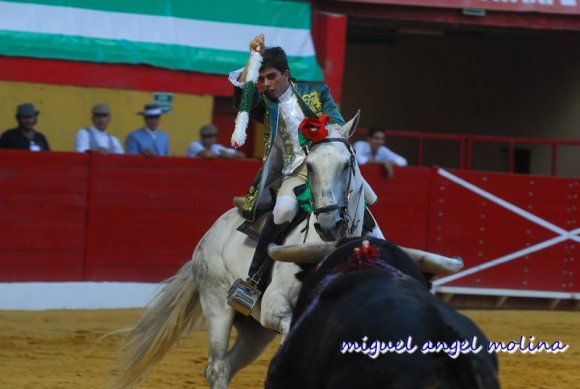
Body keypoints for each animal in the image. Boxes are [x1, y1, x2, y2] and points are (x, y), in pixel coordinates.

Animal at [116, 113, 462, 388]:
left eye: (348, 163)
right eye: (310, 165)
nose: (328, 222)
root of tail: (209, 235)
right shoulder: (274, 306)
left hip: (254, 331)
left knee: (230, 364)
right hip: (218, 304)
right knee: (217, 368)